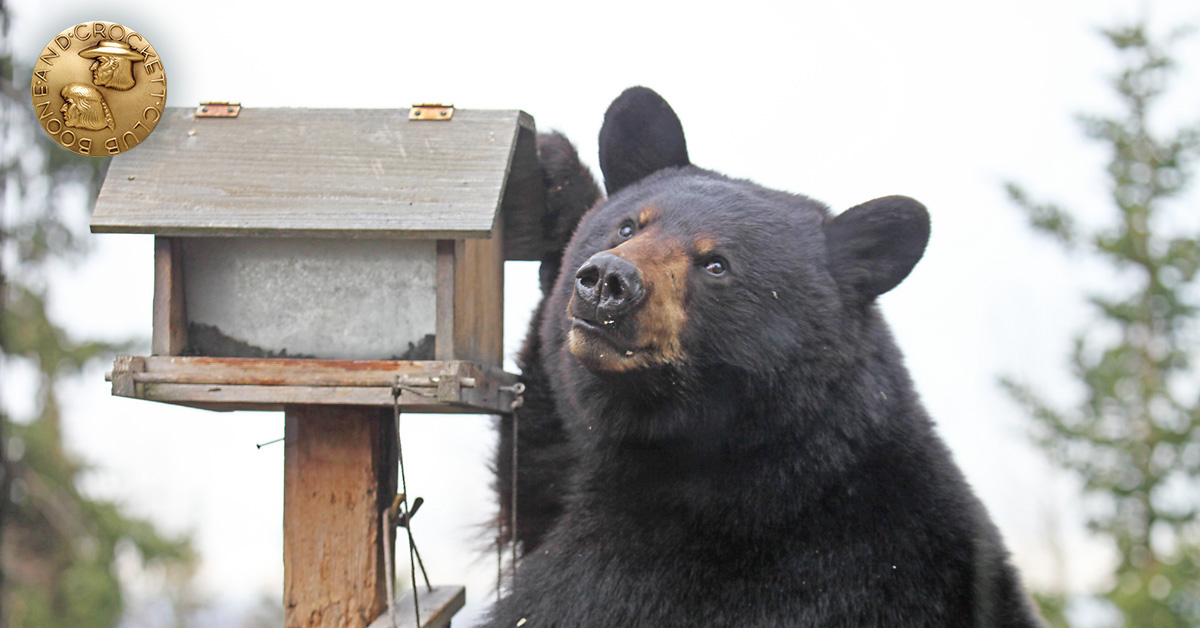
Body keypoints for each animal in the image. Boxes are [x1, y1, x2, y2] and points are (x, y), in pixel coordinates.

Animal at [487, 87, 1044, 627]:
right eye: (628, 227)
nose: (607, 281)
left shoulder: (685, 573)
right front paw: (556, 172)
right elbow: (535, 466)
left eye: (716, 264)